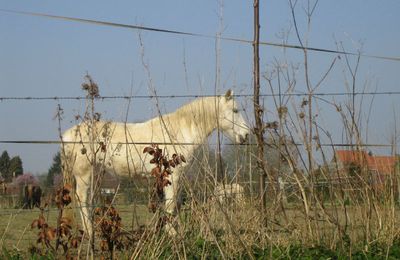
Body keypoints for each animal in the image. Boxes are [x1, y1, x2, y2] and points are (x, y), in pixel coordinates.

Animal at [60, 90, 248, 236]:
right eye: (235, 110)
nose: (246, 135)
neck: (177, 132)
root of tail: (67, 135)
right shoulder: (173, 175)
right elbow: (171, 204)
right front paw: (172, 233)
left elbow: (173, 204)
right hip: (83, 173)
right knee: (82, 199)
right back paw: (90, 231)